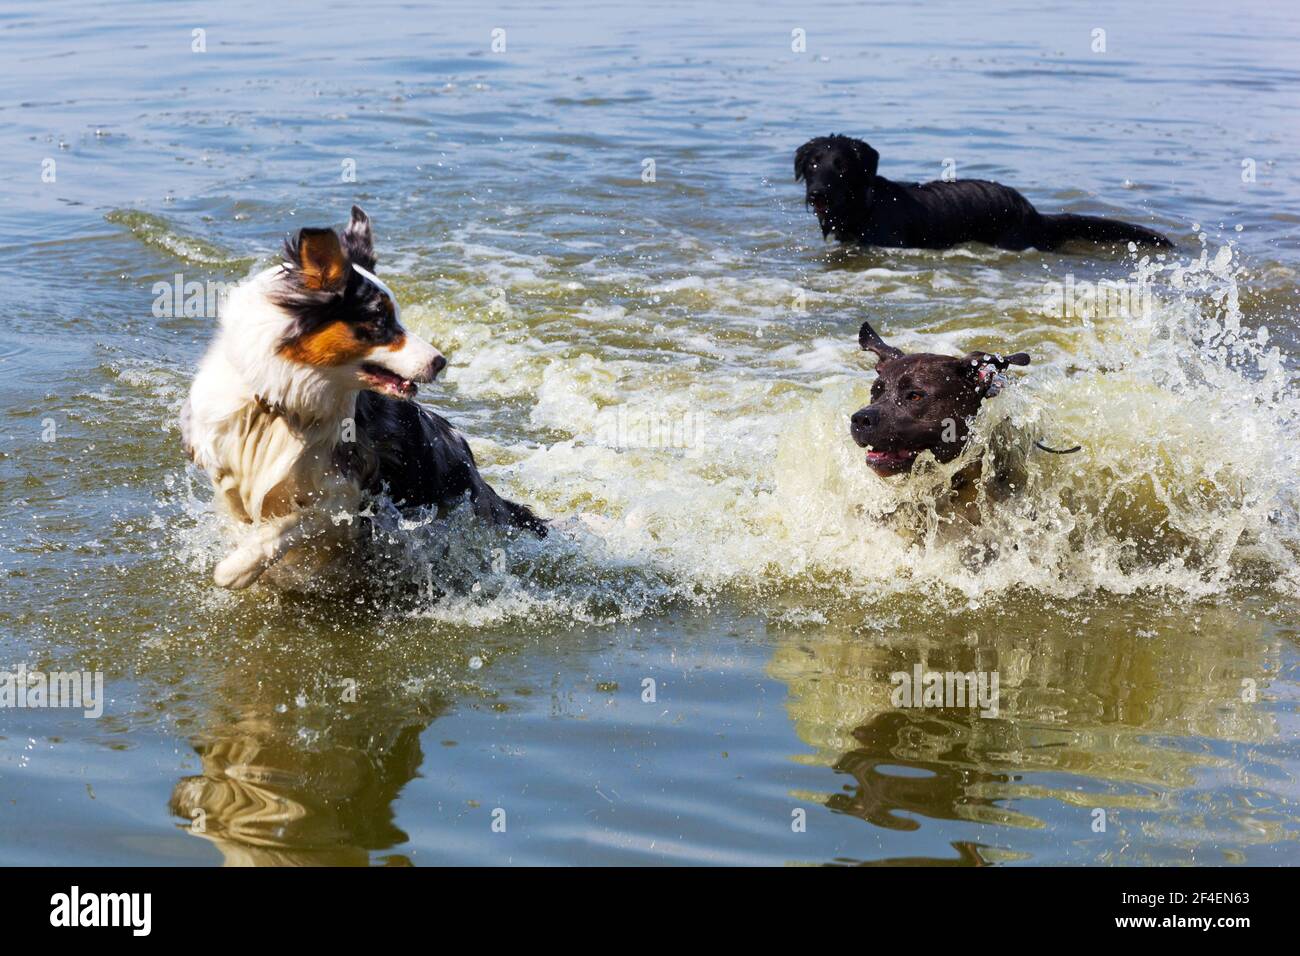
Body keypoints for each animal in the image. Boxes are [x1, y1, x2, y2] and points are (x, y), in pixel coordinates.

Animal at [180, 205, 540, 587]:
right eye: (381, 322)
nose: (441, 362)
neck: (283, 404)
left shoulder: (344, 496)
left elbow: (285, 529)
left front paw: (237, 568)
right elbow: (240, 508)